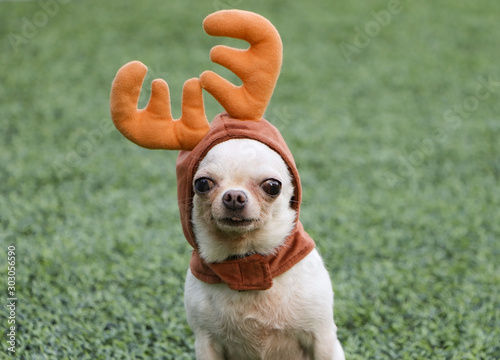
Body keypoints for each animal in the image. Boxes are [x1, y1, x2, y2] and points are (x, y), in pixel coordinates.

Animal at [186, 139, 346, 360]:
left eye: (272, 186)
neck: (245, 261)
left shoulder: (322, 339)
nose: (234, 195)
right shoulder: (205, 342)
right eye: (202, 184)